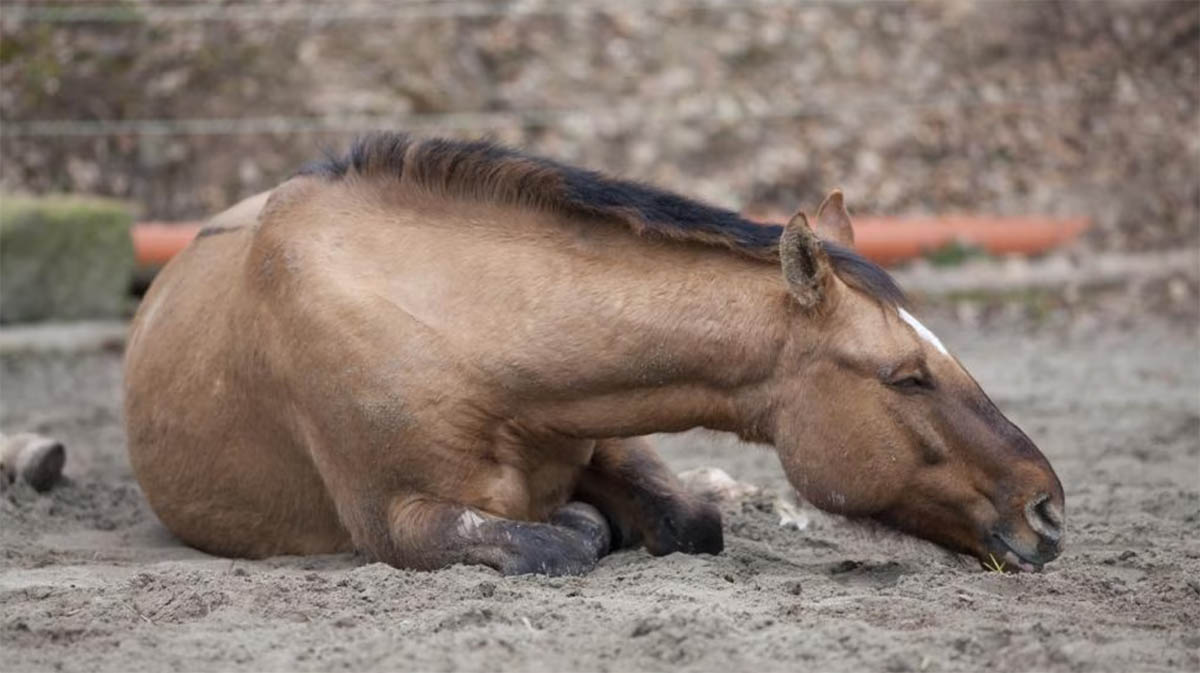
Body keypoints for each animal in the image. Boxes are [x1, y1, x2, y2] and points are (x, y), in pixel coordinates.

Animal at [123, 133, 1065, 575]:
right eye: (907, 376)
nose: (1048, 509)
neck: (463, 331)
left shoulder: (610, 428)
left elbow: (690, 520)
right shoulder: (397, 520)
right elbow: (559, 539)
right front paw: (583, 525)